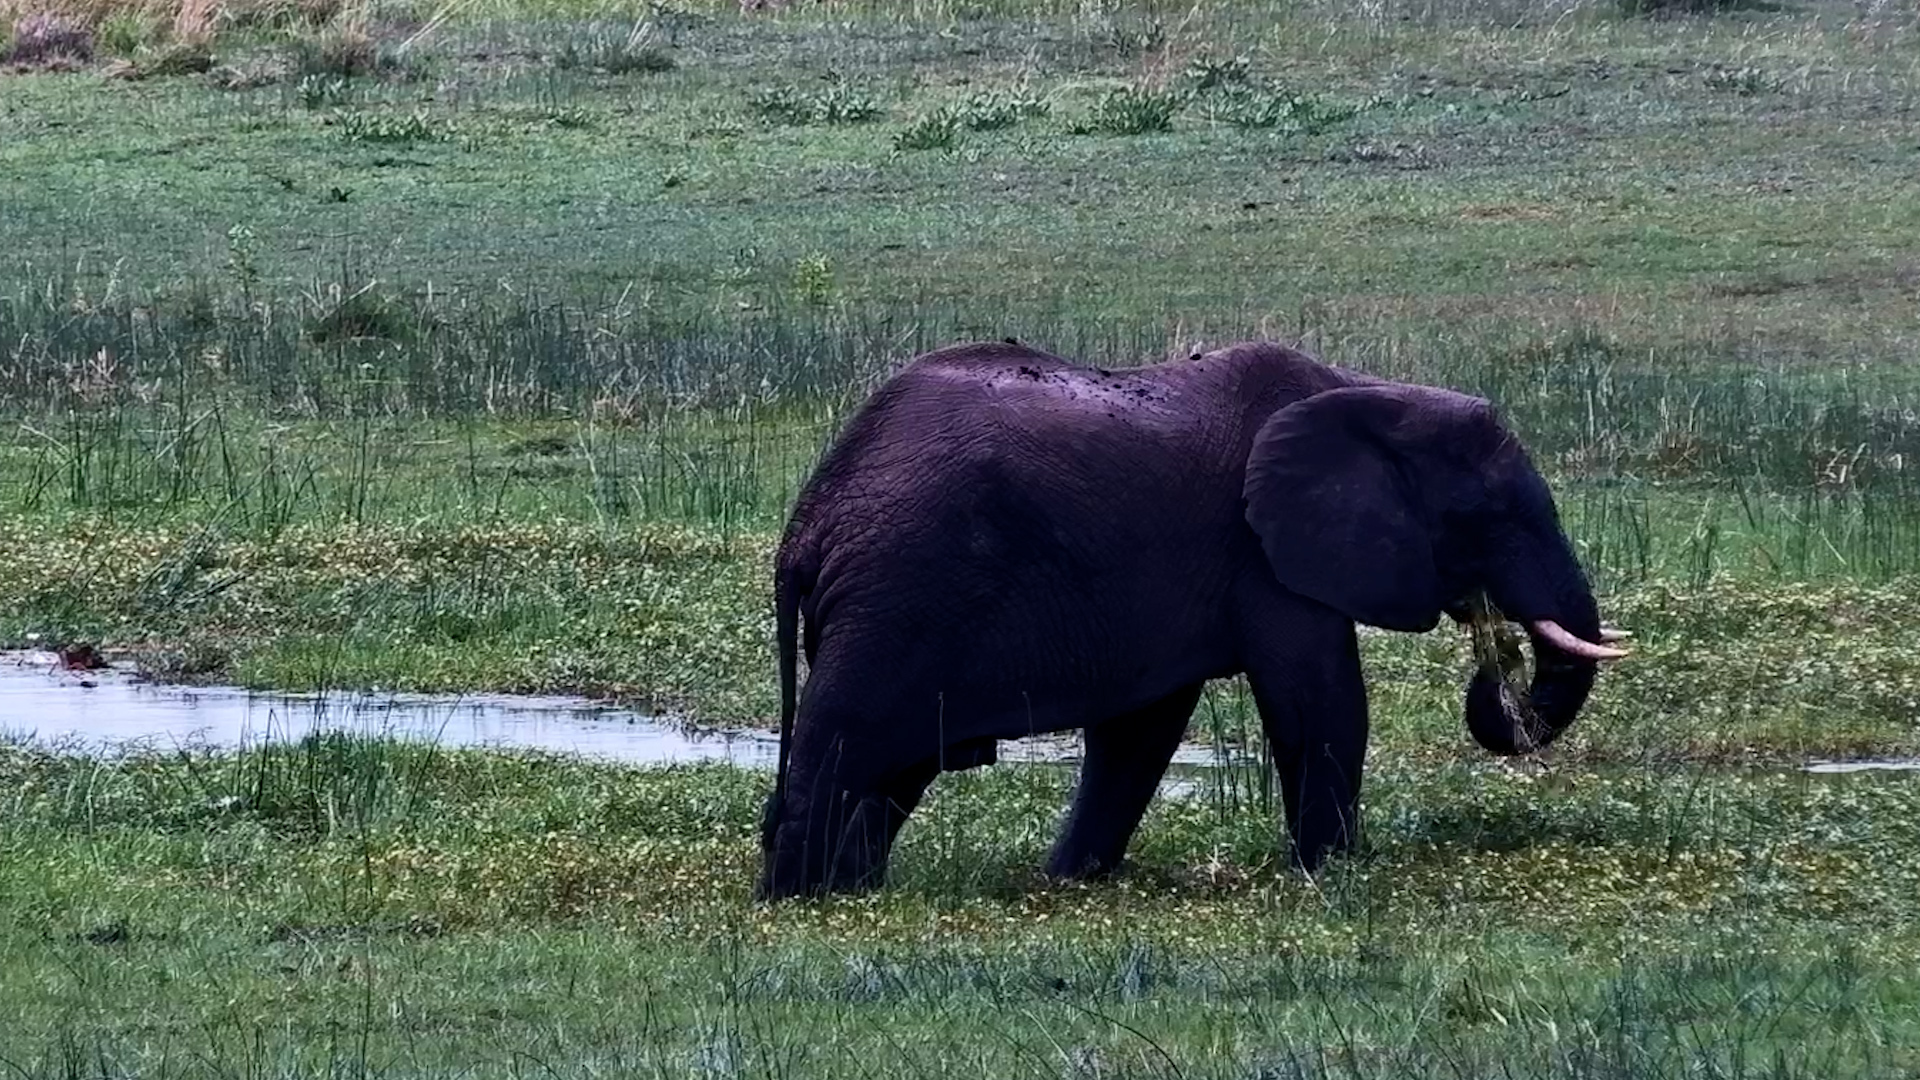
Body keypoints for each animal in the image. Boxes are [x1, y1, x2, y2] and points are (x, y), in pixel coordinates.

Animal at [755, 338, 1628, 901]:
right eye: (1490, 516)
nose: (1496, 663)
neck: (1369, 390)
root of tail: (809, 522)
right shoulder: (1264, 554)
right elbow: (1319, 700)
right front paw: (1335, 875)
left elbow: (1143, 730)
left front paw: (1068, 883)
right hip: (898, 596)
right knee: (843, 748)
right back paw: (799, 902)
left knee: (891, 770)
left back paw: (856, 892)